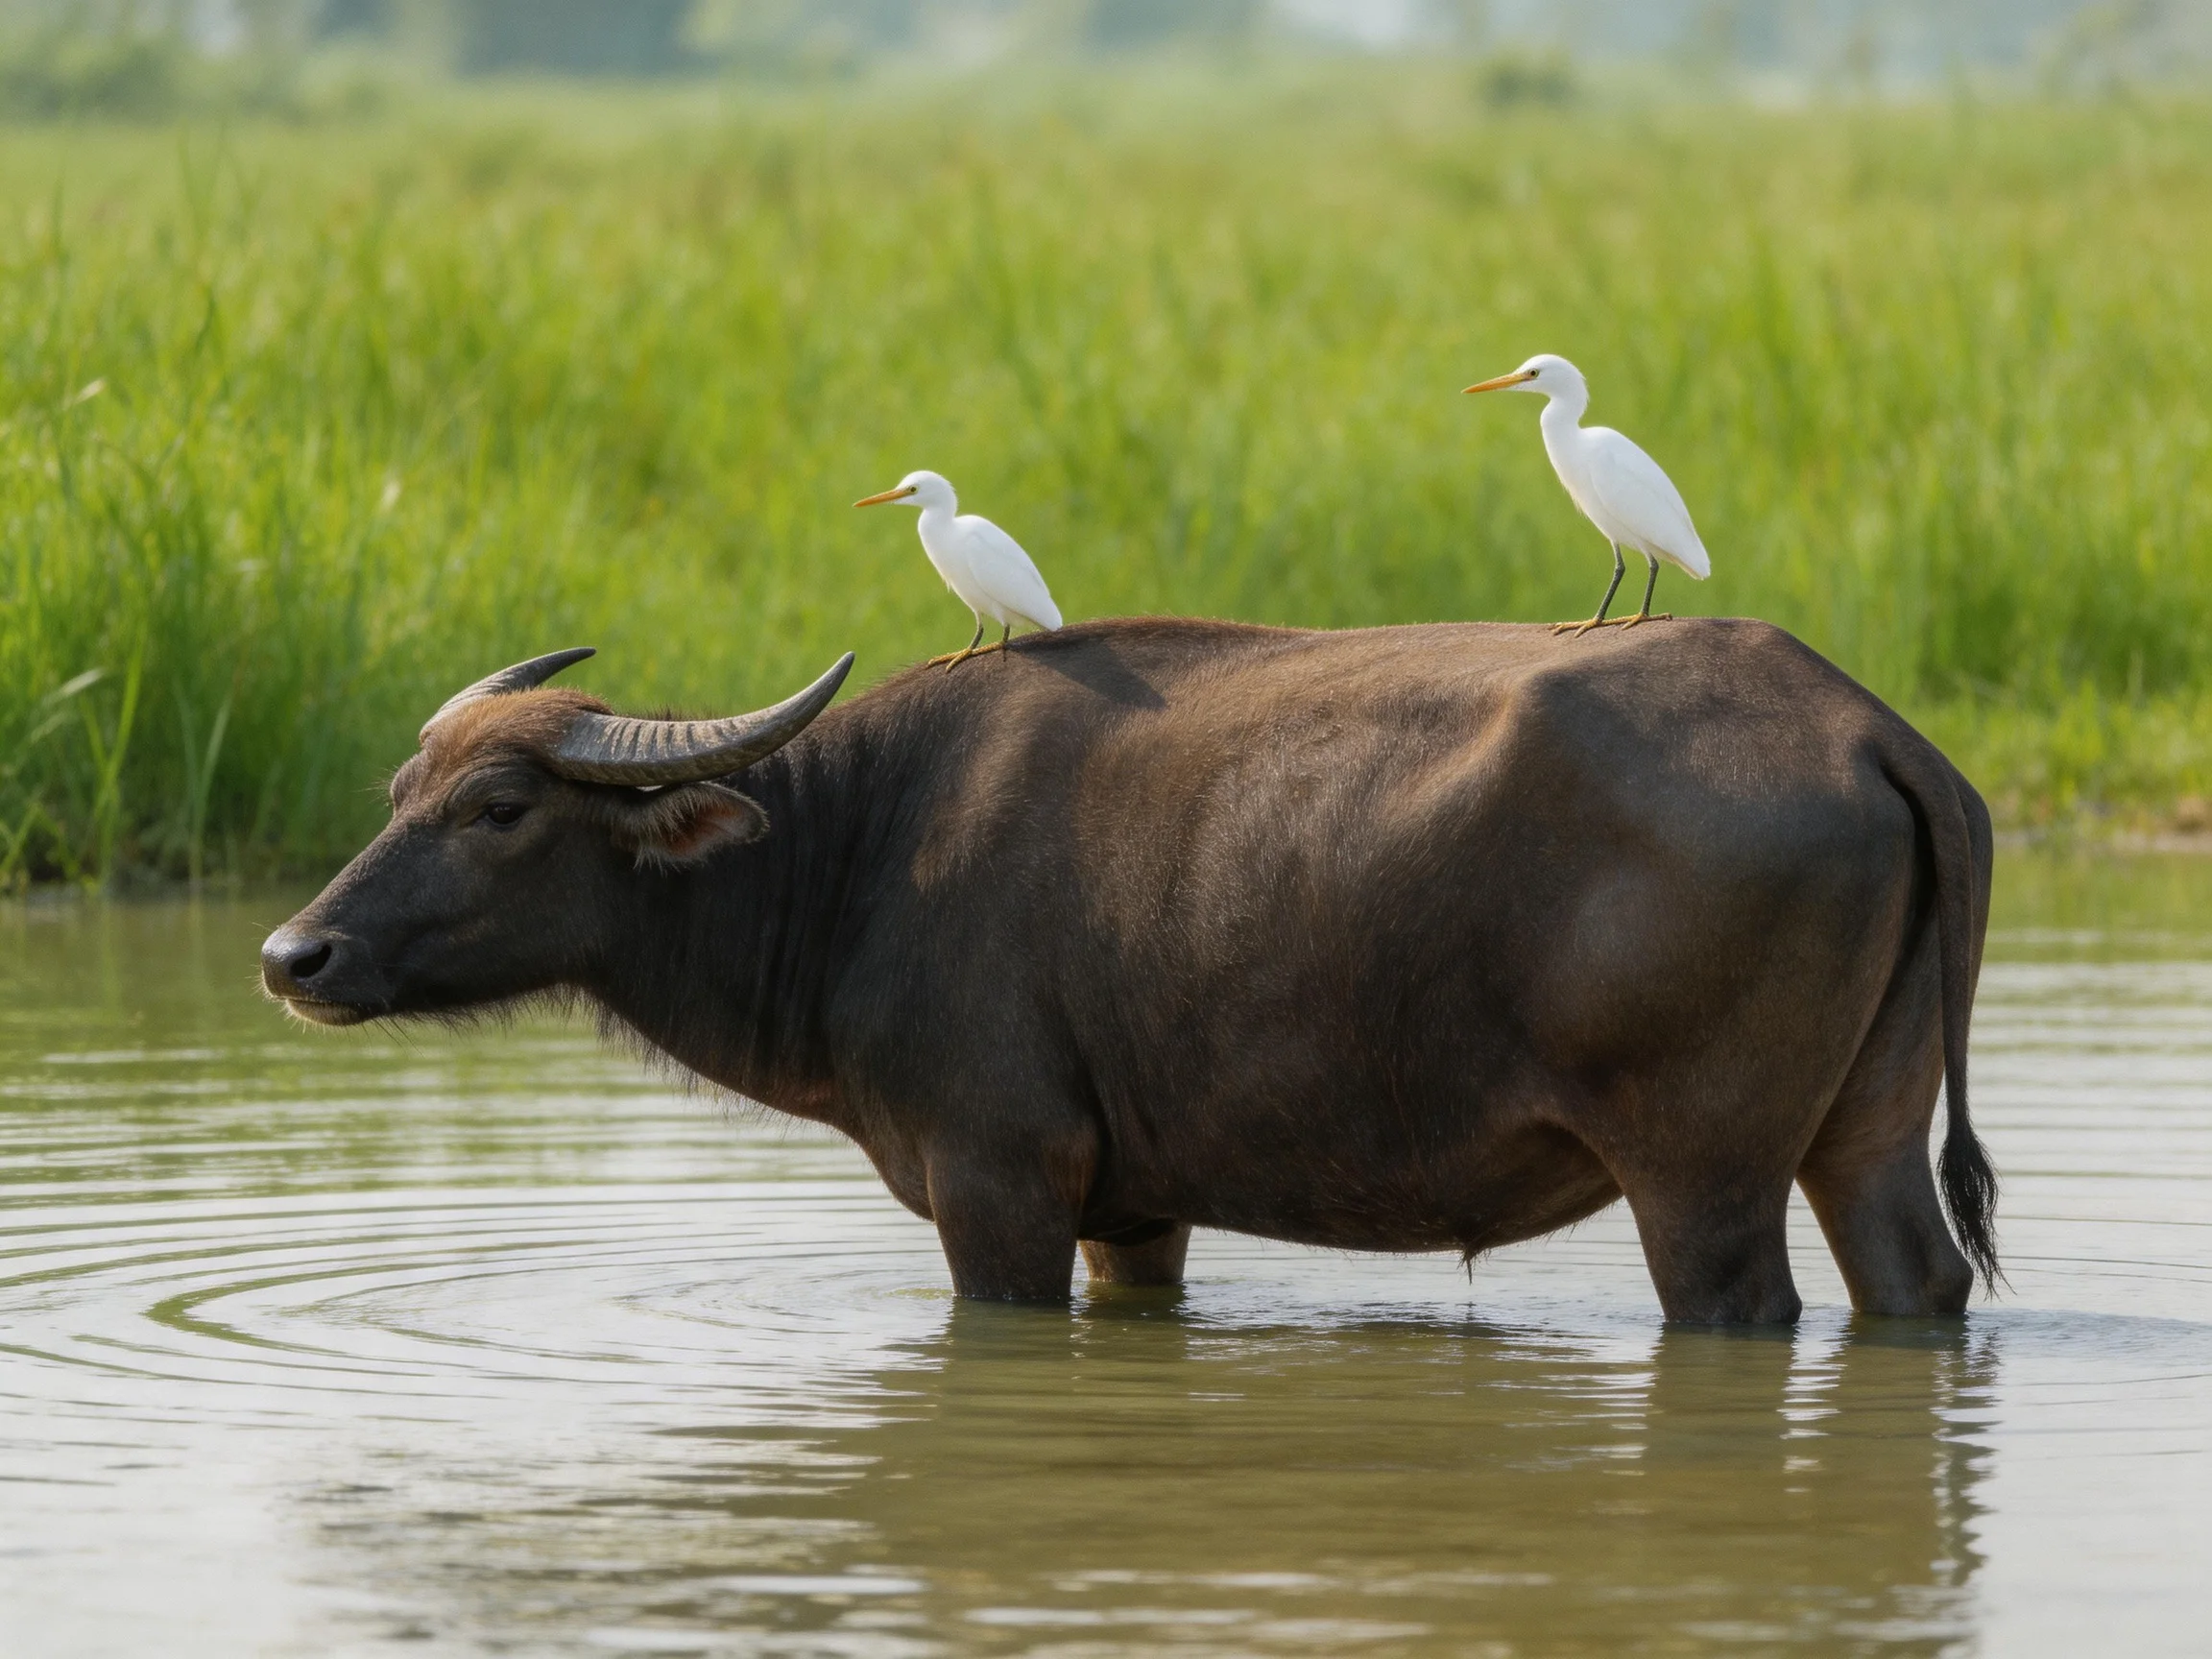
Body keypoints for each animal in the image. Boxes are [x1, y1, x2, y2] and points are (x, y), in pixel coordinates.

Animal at [263, 617, 1998, 1323]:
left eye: (499, 808)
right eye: (399, 791)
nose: (296, 952)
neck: (858, 852)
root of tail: (1862, 726)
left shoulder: (998, 1187)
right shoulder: (1137, 1210)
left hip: (1700, 1177)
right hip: (1863, 1132)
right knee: (1911, 1282)